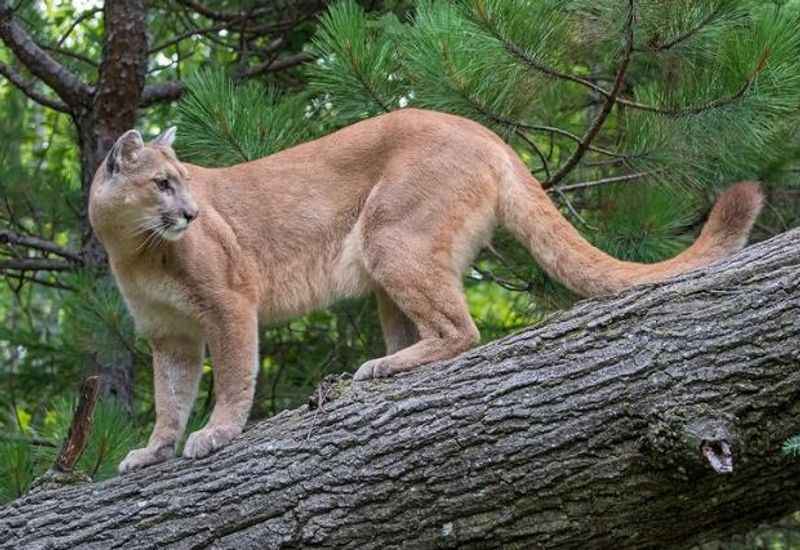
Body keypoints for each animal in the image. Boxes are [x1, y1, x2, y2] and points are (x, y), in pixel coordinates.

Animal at [89, 109, 764, 474]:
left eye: (183, 181)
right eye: (162, 183)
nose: (193, 214)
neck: (132, 246)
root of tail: (477, 127)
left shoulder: (229, 303)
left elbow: (233, 377)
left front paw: (216, 434)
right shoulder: (170, 335)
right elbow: (168, 398)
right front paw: (153, 451)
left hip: (391, 238)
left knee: (462, 330)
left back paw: (381, 367)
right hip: (388, 269)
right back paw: (386, 366)